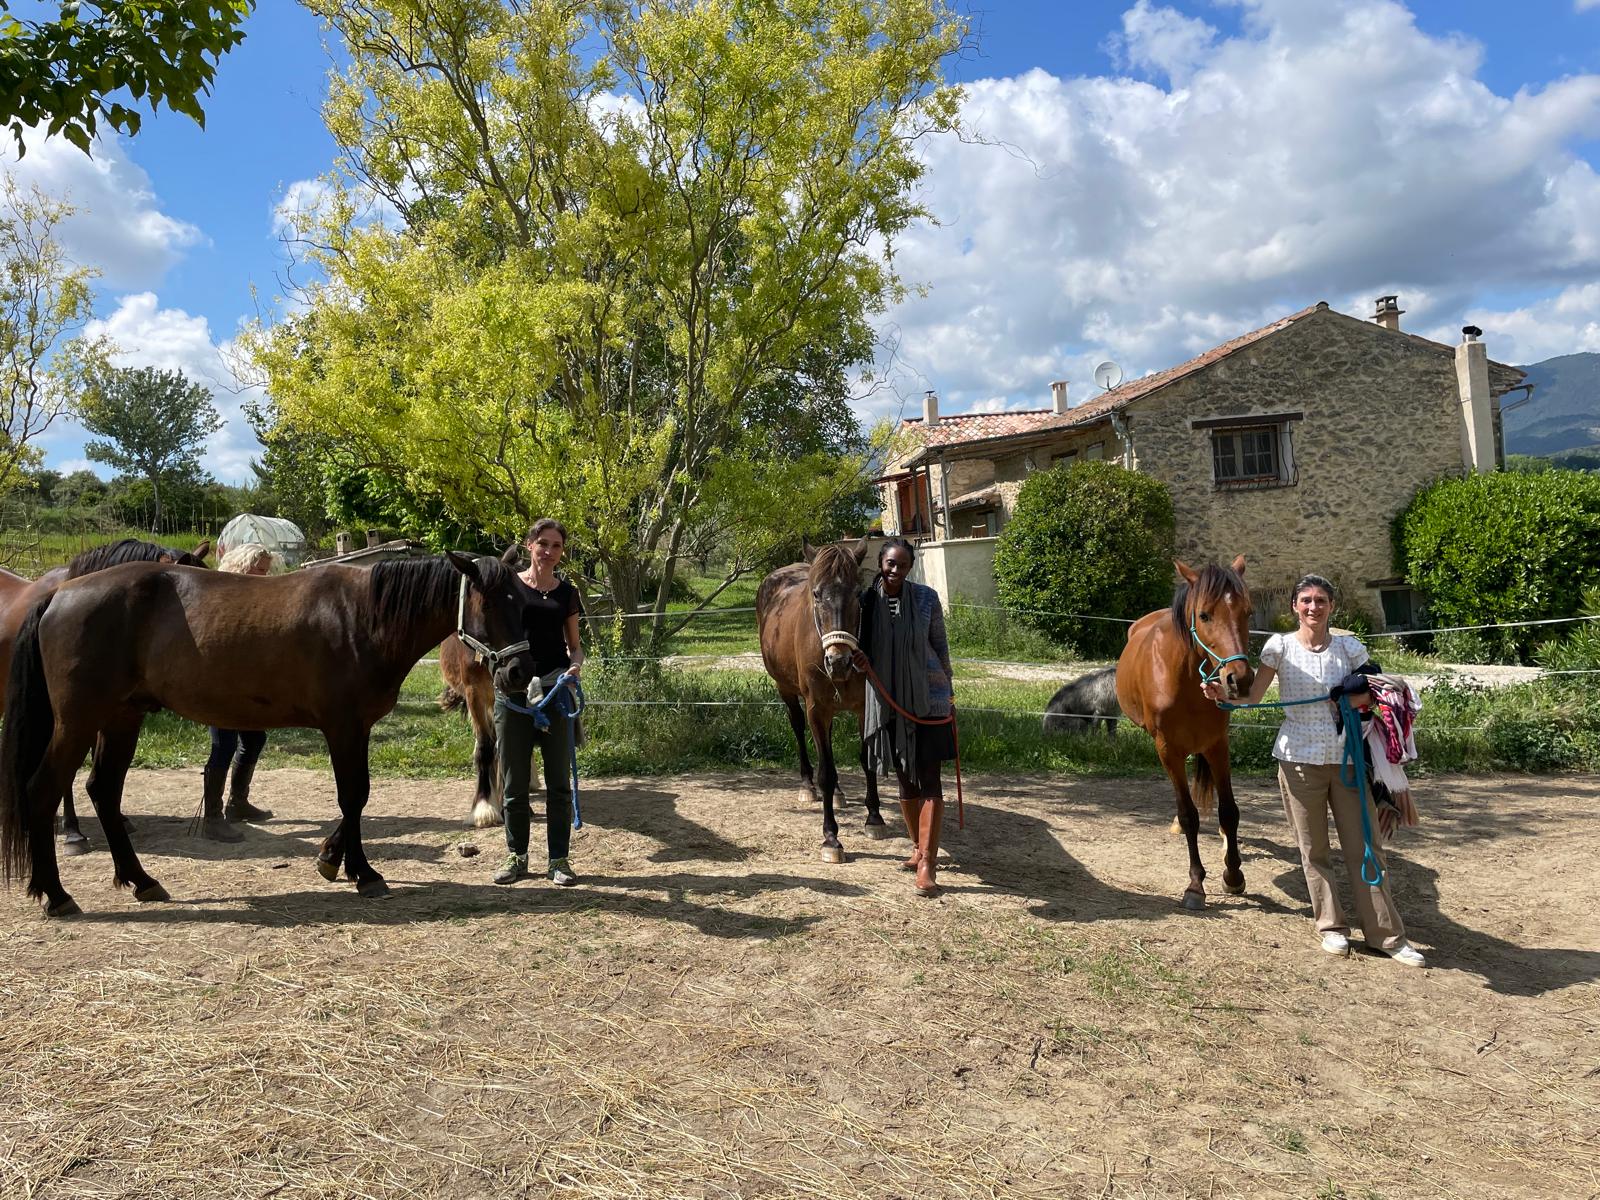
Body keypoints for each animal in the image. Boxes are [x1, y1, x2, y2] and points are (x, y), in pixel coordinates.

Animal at [752, 537, 889, 864]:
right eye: (816, 594)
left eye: (857, 593)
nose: (838, 661)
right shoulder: (816, 708)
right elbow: (826, 771)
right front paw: (831, 838)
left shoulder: (862, 708)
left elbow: (866, 761)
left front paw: (874, 818)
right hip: (787, 691)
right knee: (799, 730)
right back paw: (807, 785)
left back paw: (838, 794)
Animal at [1113, 560, 1248, 915]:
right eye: (1204, 615)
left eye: (1247, 611)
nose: (1240, 680)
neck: (1183, 679)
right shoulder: (1168, 750)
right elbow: (1189, 815)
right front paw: (1196, 885)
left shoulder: (1217, 745)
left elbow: (1229, 811)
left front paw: (1233, 875)